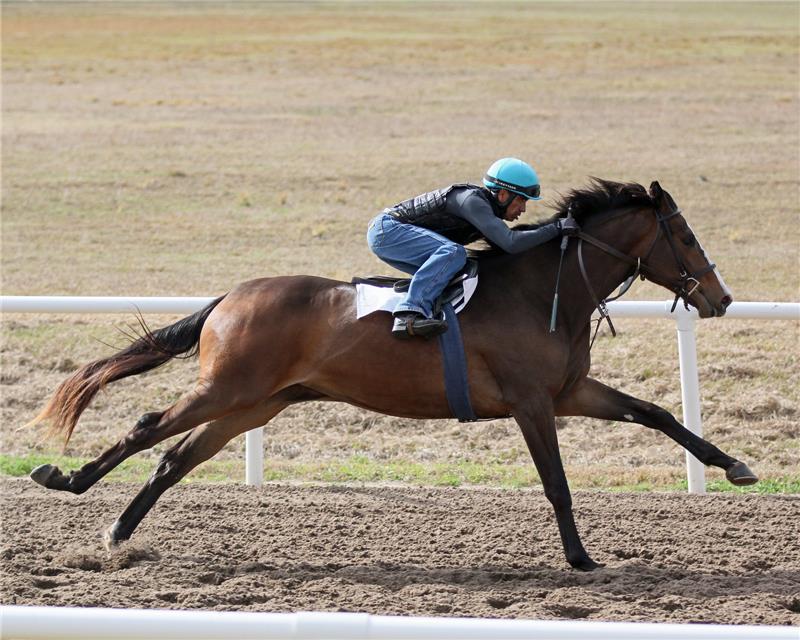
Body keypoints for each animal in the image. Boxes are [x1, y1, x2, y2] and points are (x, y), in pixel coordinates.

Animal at [28, 179, 760, 568]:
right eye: (686, 237)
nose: (720, 298)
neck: (543, 288)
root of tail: (229, 297)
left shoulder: (569, 391)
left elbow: (657, 414)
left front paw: (735, 466)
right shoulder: (531, 400)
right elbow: (556, 482)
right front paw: (579, 557)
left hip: (259, 401)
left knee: (174, 457)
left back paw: (116, 530)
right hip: (229, 388)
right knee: (150, 426)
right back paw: (65, 480)